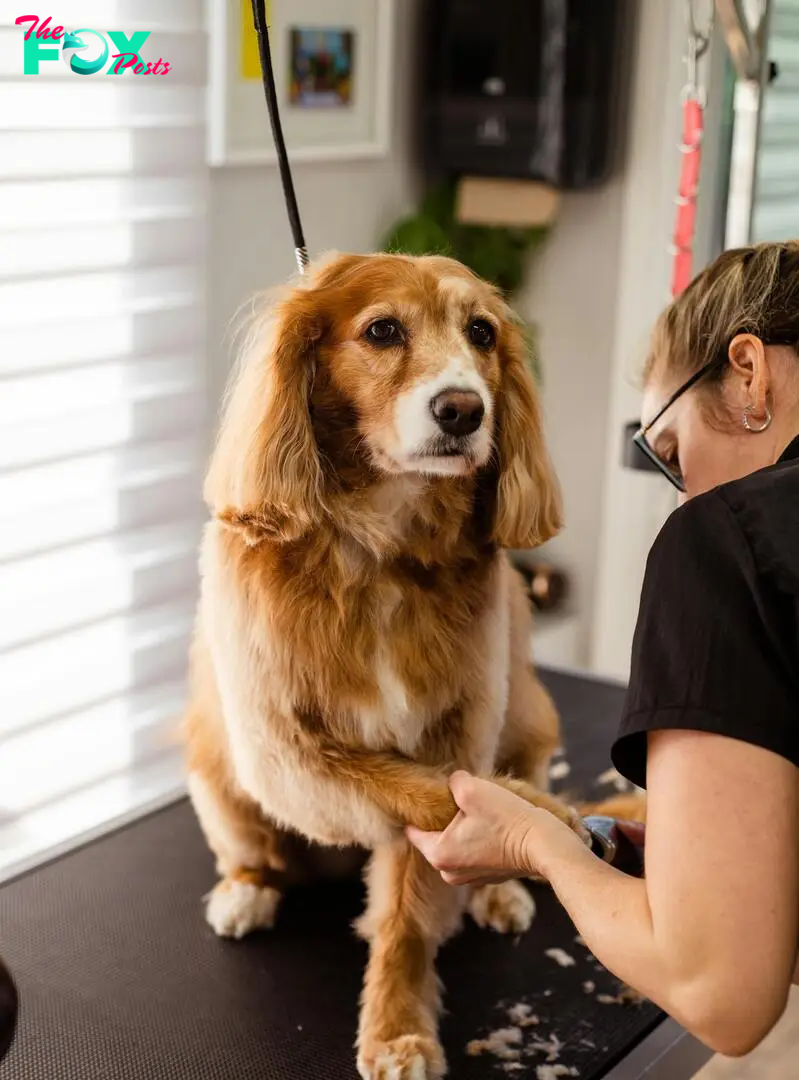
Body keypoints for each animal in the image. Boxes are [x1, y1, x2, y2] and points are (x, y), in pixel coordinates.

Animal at [185, 252, 587, 1080]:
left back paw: (501, 890)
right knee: (251, 853)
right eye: (381, 331)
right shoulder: (287, 754)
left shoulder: (458, 728)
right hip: (217, 776)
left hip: (530, 718)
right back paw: (246, 892)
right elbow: (428, 794)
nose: (463, 409)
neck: (378, 553)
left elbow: (408, 904)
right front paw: (540, 817)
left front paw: (395, 1026)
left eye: (481, 332)